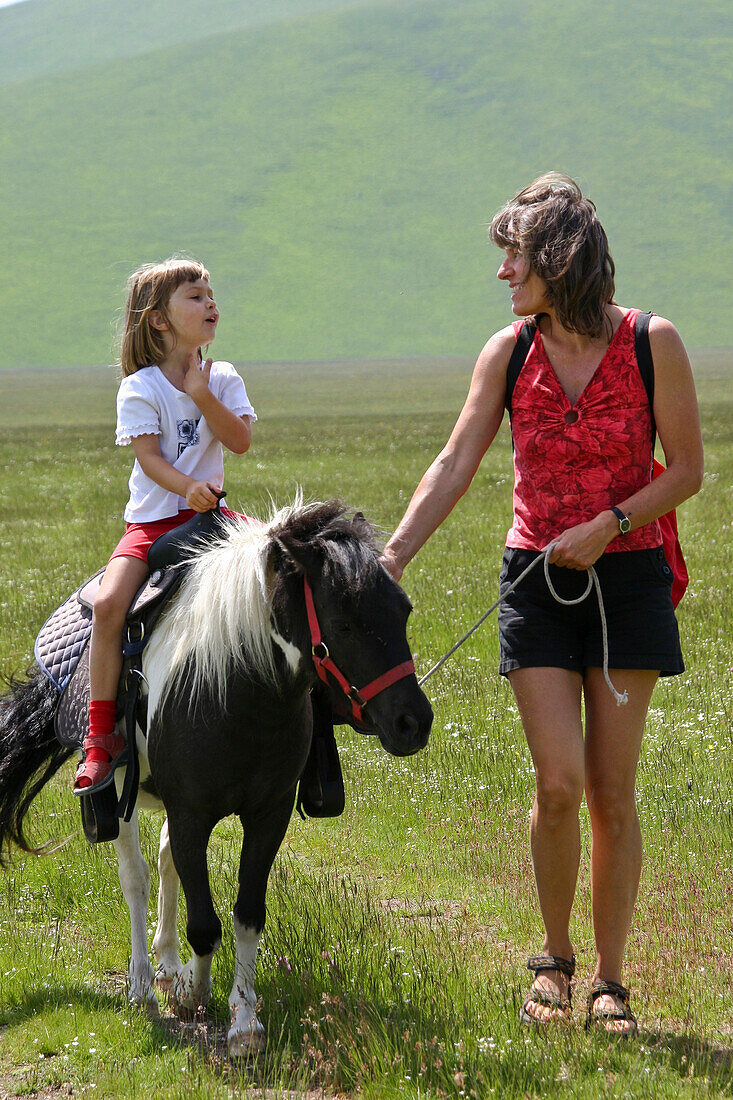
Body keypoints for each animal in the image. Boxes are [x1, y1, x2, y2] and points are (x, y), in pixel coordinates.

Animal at [0, 501, 431, 1056]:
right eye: (345, 623)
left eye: (403, 611)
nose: (413, 722)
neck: (242, 693)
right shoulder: (192, 814)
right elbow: (203, 922)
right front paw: (193, 993)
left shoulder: (267, 817)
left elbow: (247, 913)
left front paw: (243, 1019)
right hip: (119, 791)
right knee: (136, 878)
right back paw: (143, 985)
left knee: (165, 864)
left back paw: (165, 965)